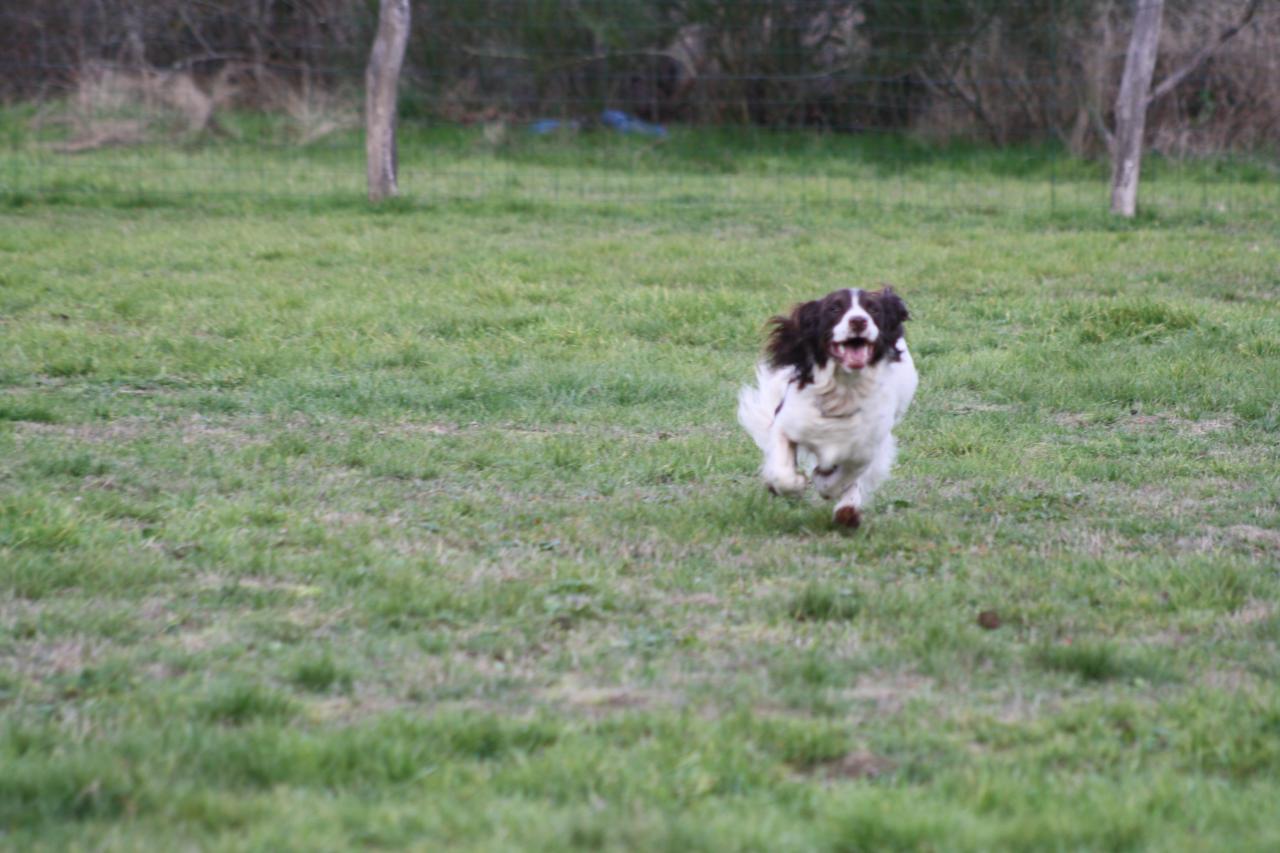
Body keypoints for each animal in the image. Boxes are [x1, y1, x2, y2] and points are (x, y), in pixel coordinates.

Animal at [737, 285, 916, 525]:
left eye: (874, 310)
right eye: (834, 308)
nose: (858, 321)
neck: (844, 390)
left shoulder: (866, 448)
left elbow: (846, 476)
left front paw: (827, 486)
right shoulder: (786, 424)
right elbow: (782, 472)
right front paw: (793, 484)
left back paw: (847, 511)